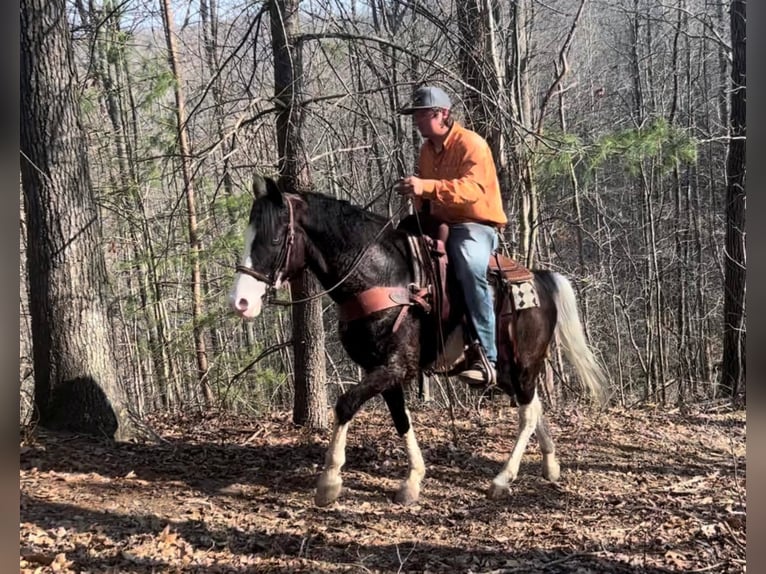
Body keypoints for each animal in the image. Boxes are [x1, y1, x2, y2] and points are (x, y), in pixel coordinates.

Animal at [228, 177, 608, 508]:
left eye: (274, 240)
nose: (241, 302)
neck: (381, 277)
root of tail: (540, 279)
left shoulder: (397, 367)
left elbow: (346, 404)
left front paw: (329, 481)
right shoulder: (382, 369)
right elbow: (401, 419)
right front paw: (412, 480)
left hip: (525, 362)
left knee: (527, 414)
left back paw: (503, 479)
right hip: (509, 371)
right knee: (535, 405)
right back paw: (550, 464)